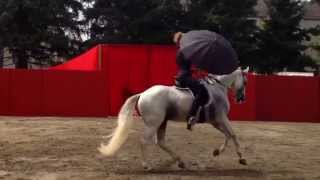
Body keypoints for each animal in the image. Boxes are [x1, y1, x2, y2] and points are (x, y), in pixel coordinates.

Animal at [99, 67, 249, 170]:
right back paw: (147, 165)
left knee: (161, 142)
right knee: (144, 141)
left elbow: (227, 135)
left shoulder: (215, 121)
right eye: (246, 82)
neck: (218, 88)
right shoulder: (222, 118)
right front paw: (242, 158)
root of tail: (143, 94)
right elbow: (233, 135)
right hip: (153, 124)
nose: (241, 99)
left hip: (162, 123)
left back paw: (179, 161)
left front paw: (217, 152)